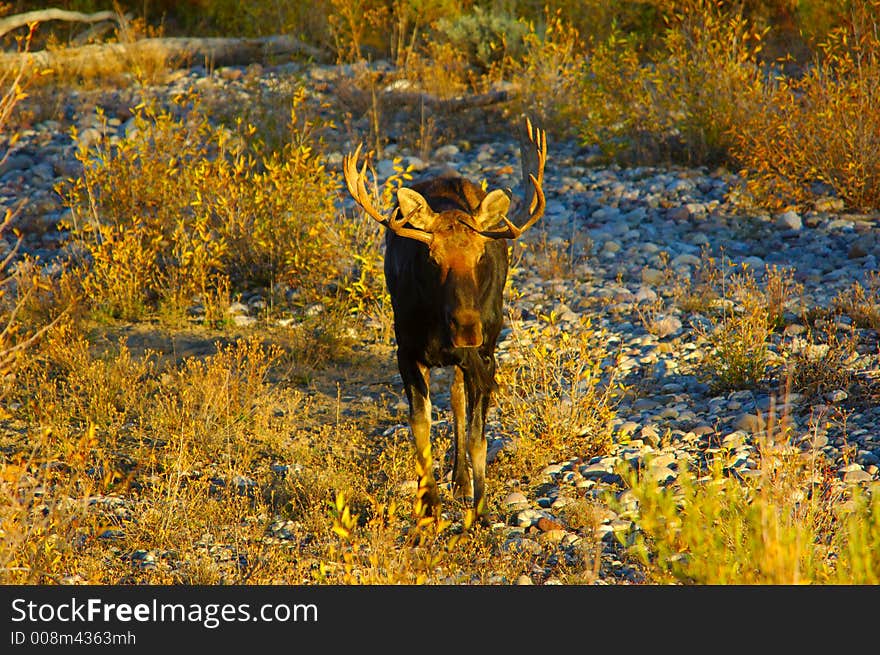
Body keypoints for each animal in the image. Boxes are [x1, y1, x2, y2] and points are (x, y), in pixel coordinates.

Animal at [342, 115, 544, 520]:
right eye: (432, 258)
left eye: (481, 255)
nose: (467, 327)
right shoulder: (406, 351)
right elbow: (420, 425)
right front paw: (429, 505)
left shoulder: (485, 356)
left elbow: (479, 436)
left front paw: (481, 511)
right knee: (453, 396)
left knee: (457, 398)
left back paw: (463, 481)